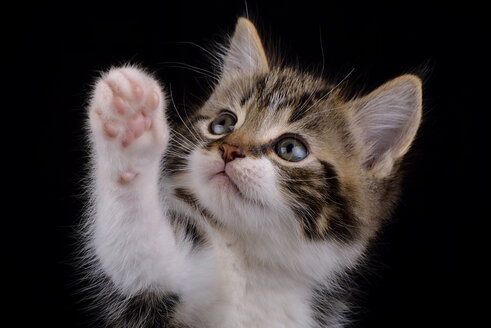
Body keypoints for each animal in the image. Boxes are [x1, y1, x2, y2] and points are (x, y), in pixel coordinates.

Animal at [83, 18, 422, 328]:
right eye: (223, 124)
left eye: (291, 149)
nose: (229, 149)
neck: (251, 263)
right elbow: (140, 253)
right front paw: (128, 130)